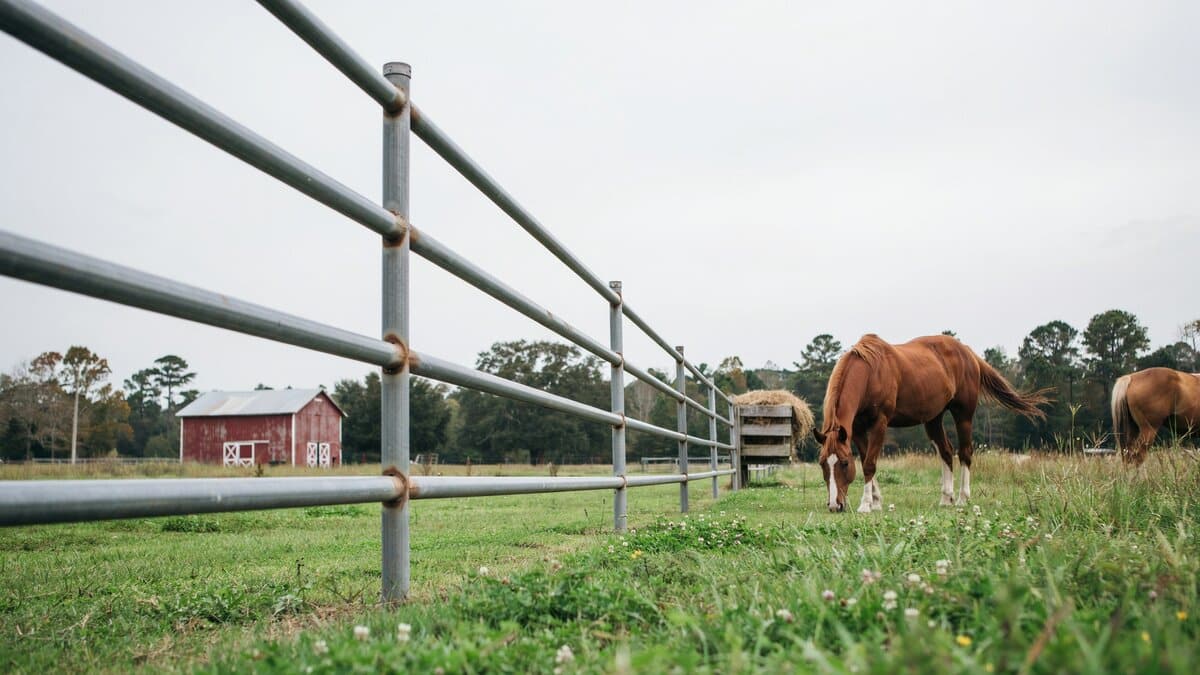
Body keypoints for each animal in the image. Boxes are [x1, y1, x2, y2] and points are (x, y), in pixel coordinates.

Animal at [814, 334, 1050, 512]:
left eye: (844, 463)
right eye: (822, 463)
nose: (835, 505)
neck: (871, 373)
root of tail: (968, 352)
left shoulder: (880, 423)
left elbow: (870, 463)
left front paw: (866, 505)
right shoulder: (857, 429)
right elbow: (864, 461)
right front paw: (876, 501)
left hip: (963, 415)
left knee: (965, 452)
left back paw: (962, 498)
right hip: (933, 419)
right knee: (946, 451)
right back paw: (946, 498)